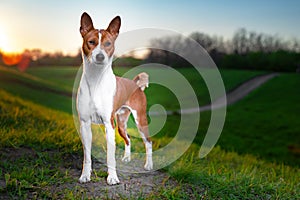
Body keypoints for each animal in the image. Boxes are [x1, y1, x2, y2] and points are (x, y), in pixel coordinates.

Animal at [76, 12, 154, 184]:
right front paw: (85, 175)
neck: (96, 80)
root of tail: (135, 84)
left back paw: (149, 165)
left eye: (108, 43)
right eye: (91, 42)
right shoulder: (85, 124)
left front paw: (112, 178)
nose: (100, 57)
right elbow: (87, 156)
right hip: (121, 123)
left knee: (148, 142)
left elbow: (110, 156)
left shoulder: (108, 124)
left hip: (140, 120)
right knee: (129, 138)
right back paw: (127, 158)